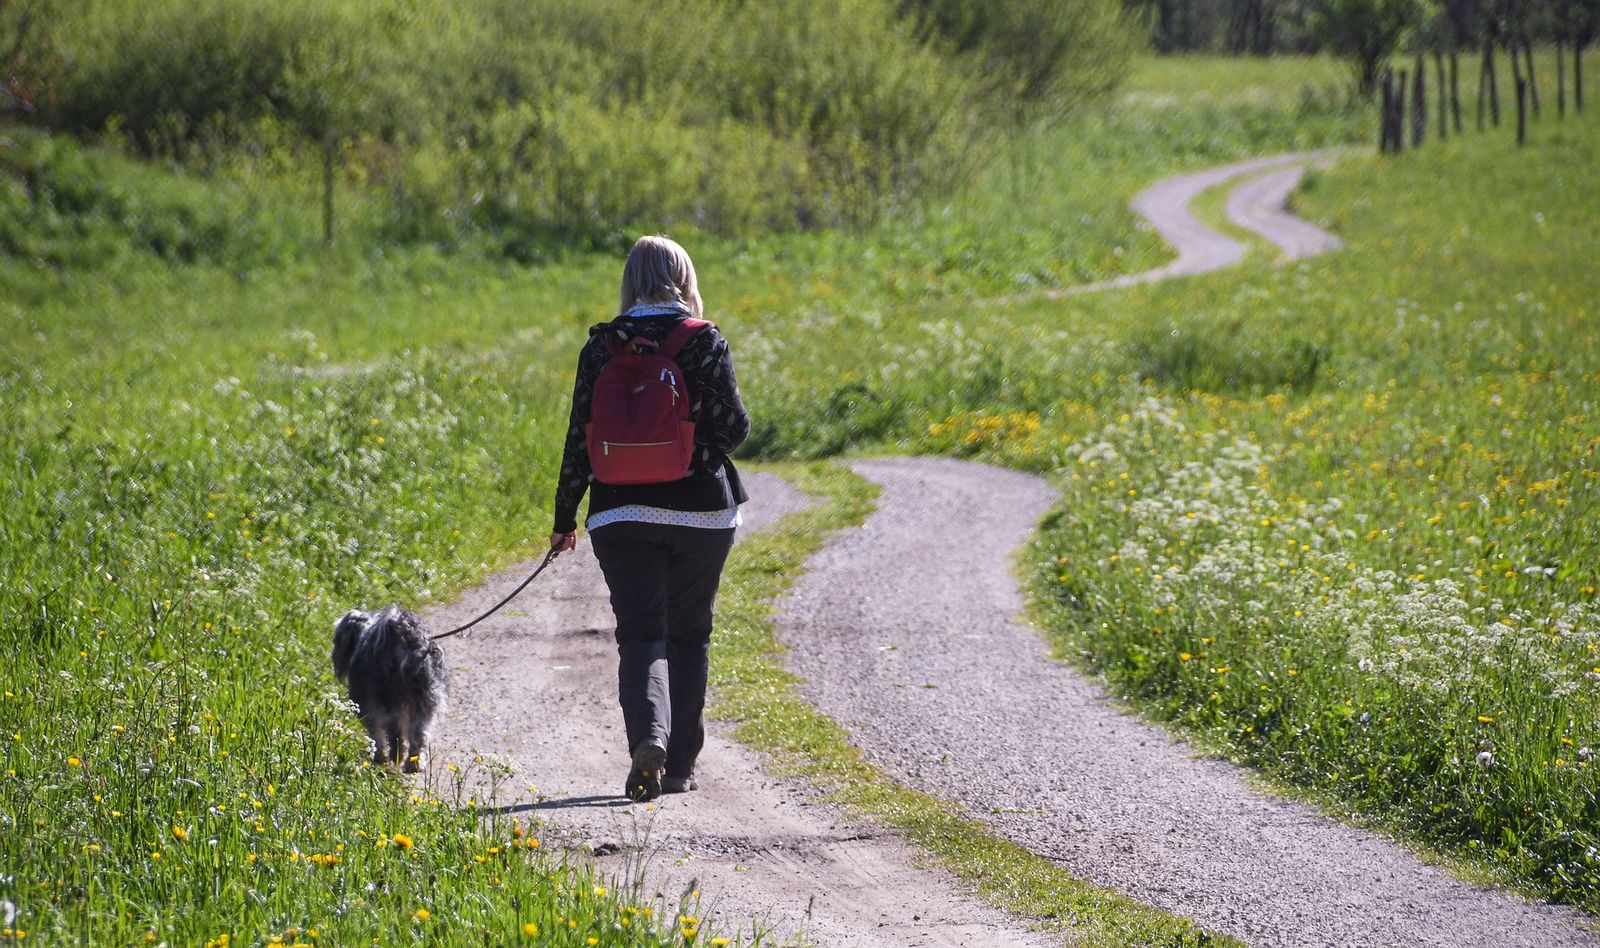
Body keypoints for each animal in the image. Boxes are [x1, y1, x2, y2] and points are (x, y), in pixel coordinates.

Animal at [329, 608, 444, 768]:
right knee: (419, 732)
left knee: (394, 731)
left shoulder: (365, 703)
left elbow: (375, 733)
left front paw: (380, 756)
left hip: (388, 697)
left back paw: (396, 755)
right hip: (425, 698)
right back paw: (414, 762)